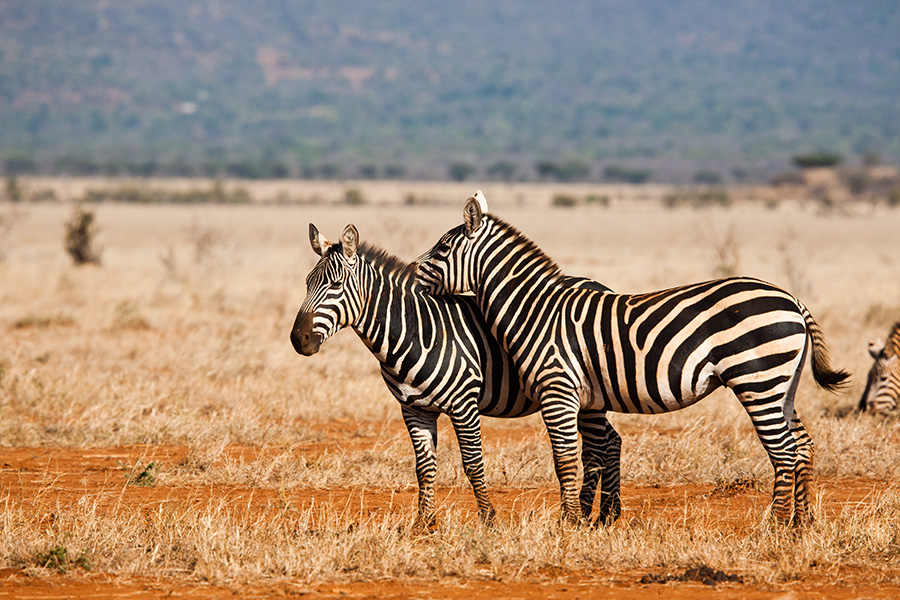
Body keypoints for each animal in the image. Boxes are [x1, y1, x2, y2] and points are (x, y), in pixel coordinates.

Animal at [290, 223, 613, 529]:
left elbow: (473, 463)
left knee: (597, 447)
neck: (415, 331)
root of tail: (597, 284)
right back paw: (609, 514)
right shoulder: (414, 409)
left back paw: (591, 514)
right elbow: (424, 467)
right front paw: (424, 522)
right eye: (306, 283)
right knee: (612, 440)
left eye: (336, 284)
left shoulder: (464, 405)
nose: (298, 339)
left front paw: (488, 518)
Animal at [414, 191, 849, 527]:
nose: (413, 276)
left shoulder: (557, 389)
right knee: (803, 445)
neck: (536, 311)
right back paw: (801, 523)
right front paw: (582, 519)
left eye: (442, 248)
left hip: (758, 379)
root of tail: (791, 299)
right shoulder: (578, 396)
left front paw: (566, 522)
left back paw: (773, 525)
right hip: (783, 384)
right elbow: (585, 457)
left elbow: (564, 460)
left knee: (784, 450)